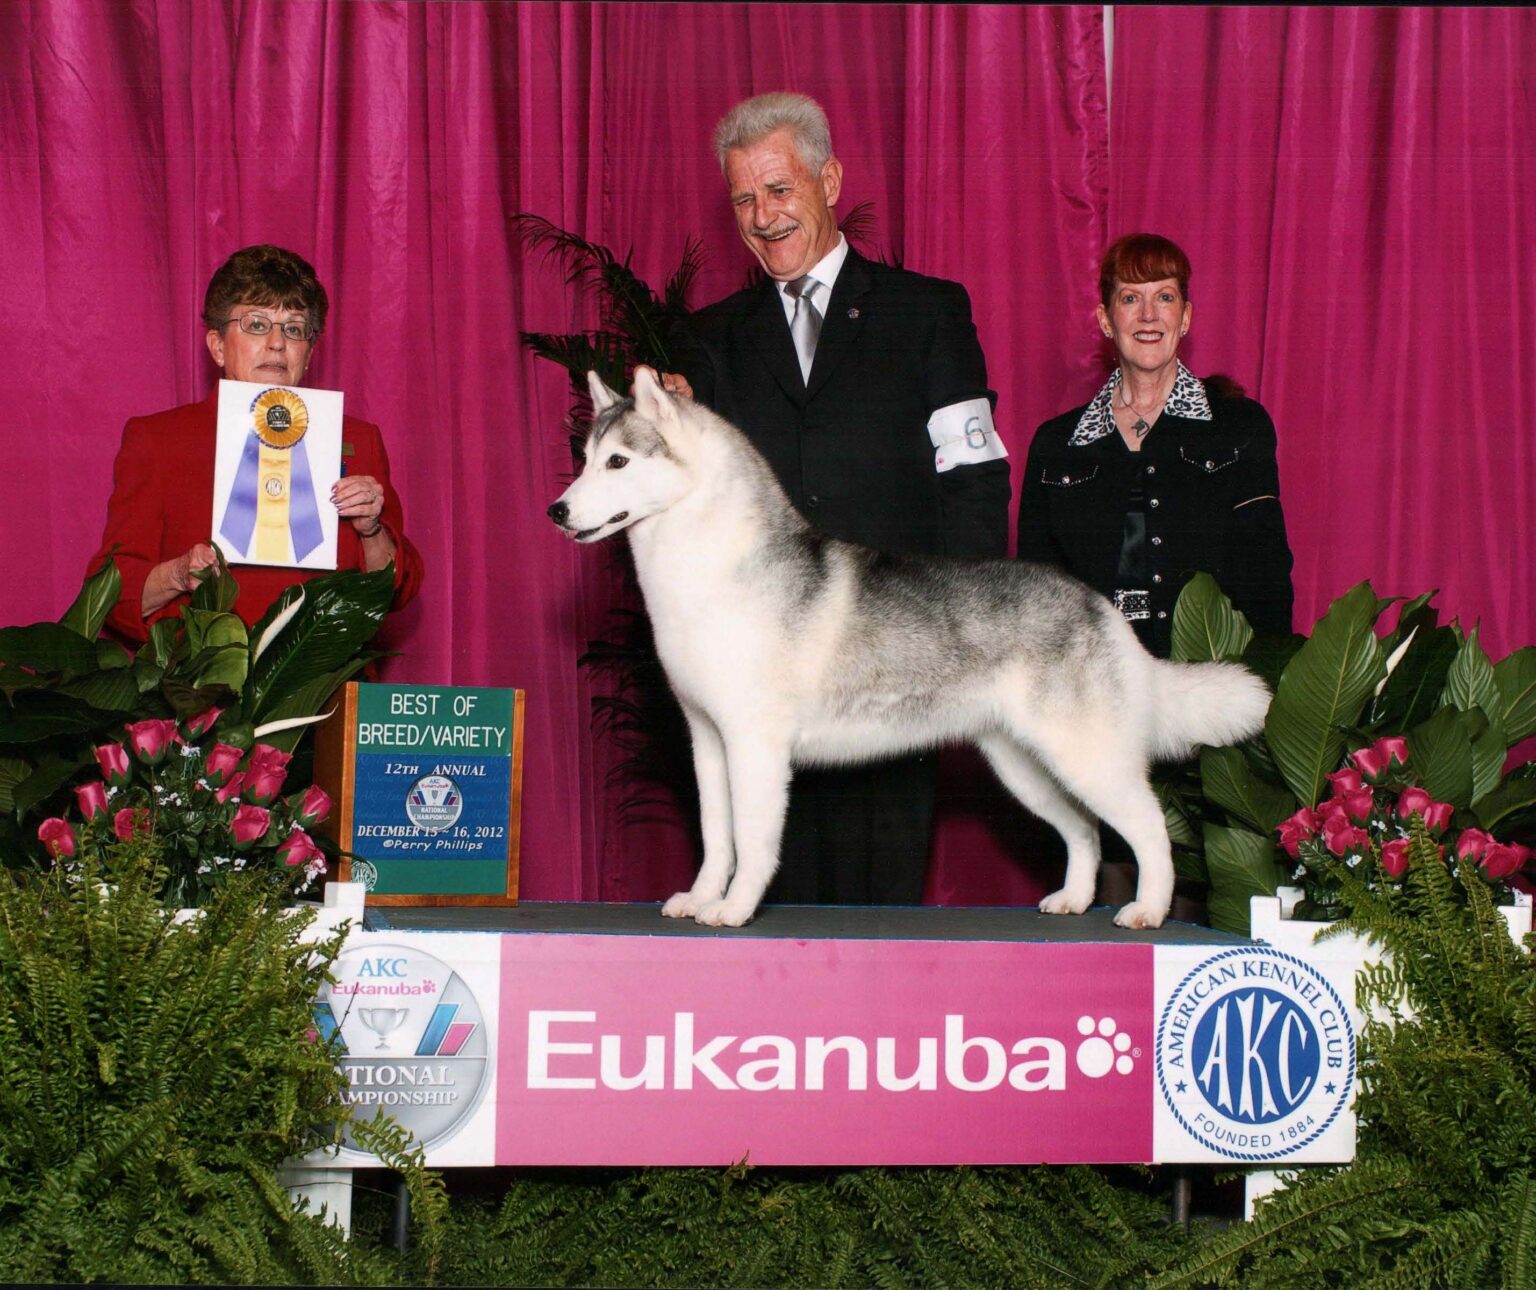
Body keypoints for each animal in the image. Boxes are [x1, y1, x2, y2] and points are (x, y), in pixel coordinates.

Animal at [546, 368, 1265, 933]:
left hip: (1086, 757)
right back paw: (1074, 899)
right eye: (584, 458)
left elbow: (750, 841)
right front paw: (700, 899)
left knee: (1149, 828)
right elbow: (716, 837)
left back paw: (1148, 909)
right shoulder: (707, 740)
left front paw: (735, 909)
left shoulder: (754, 745)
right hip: (1023, 766)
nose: (557, 511)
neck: (706, 567)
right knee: (1085, 830)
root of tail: (1100, 605)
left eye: (618, 462)